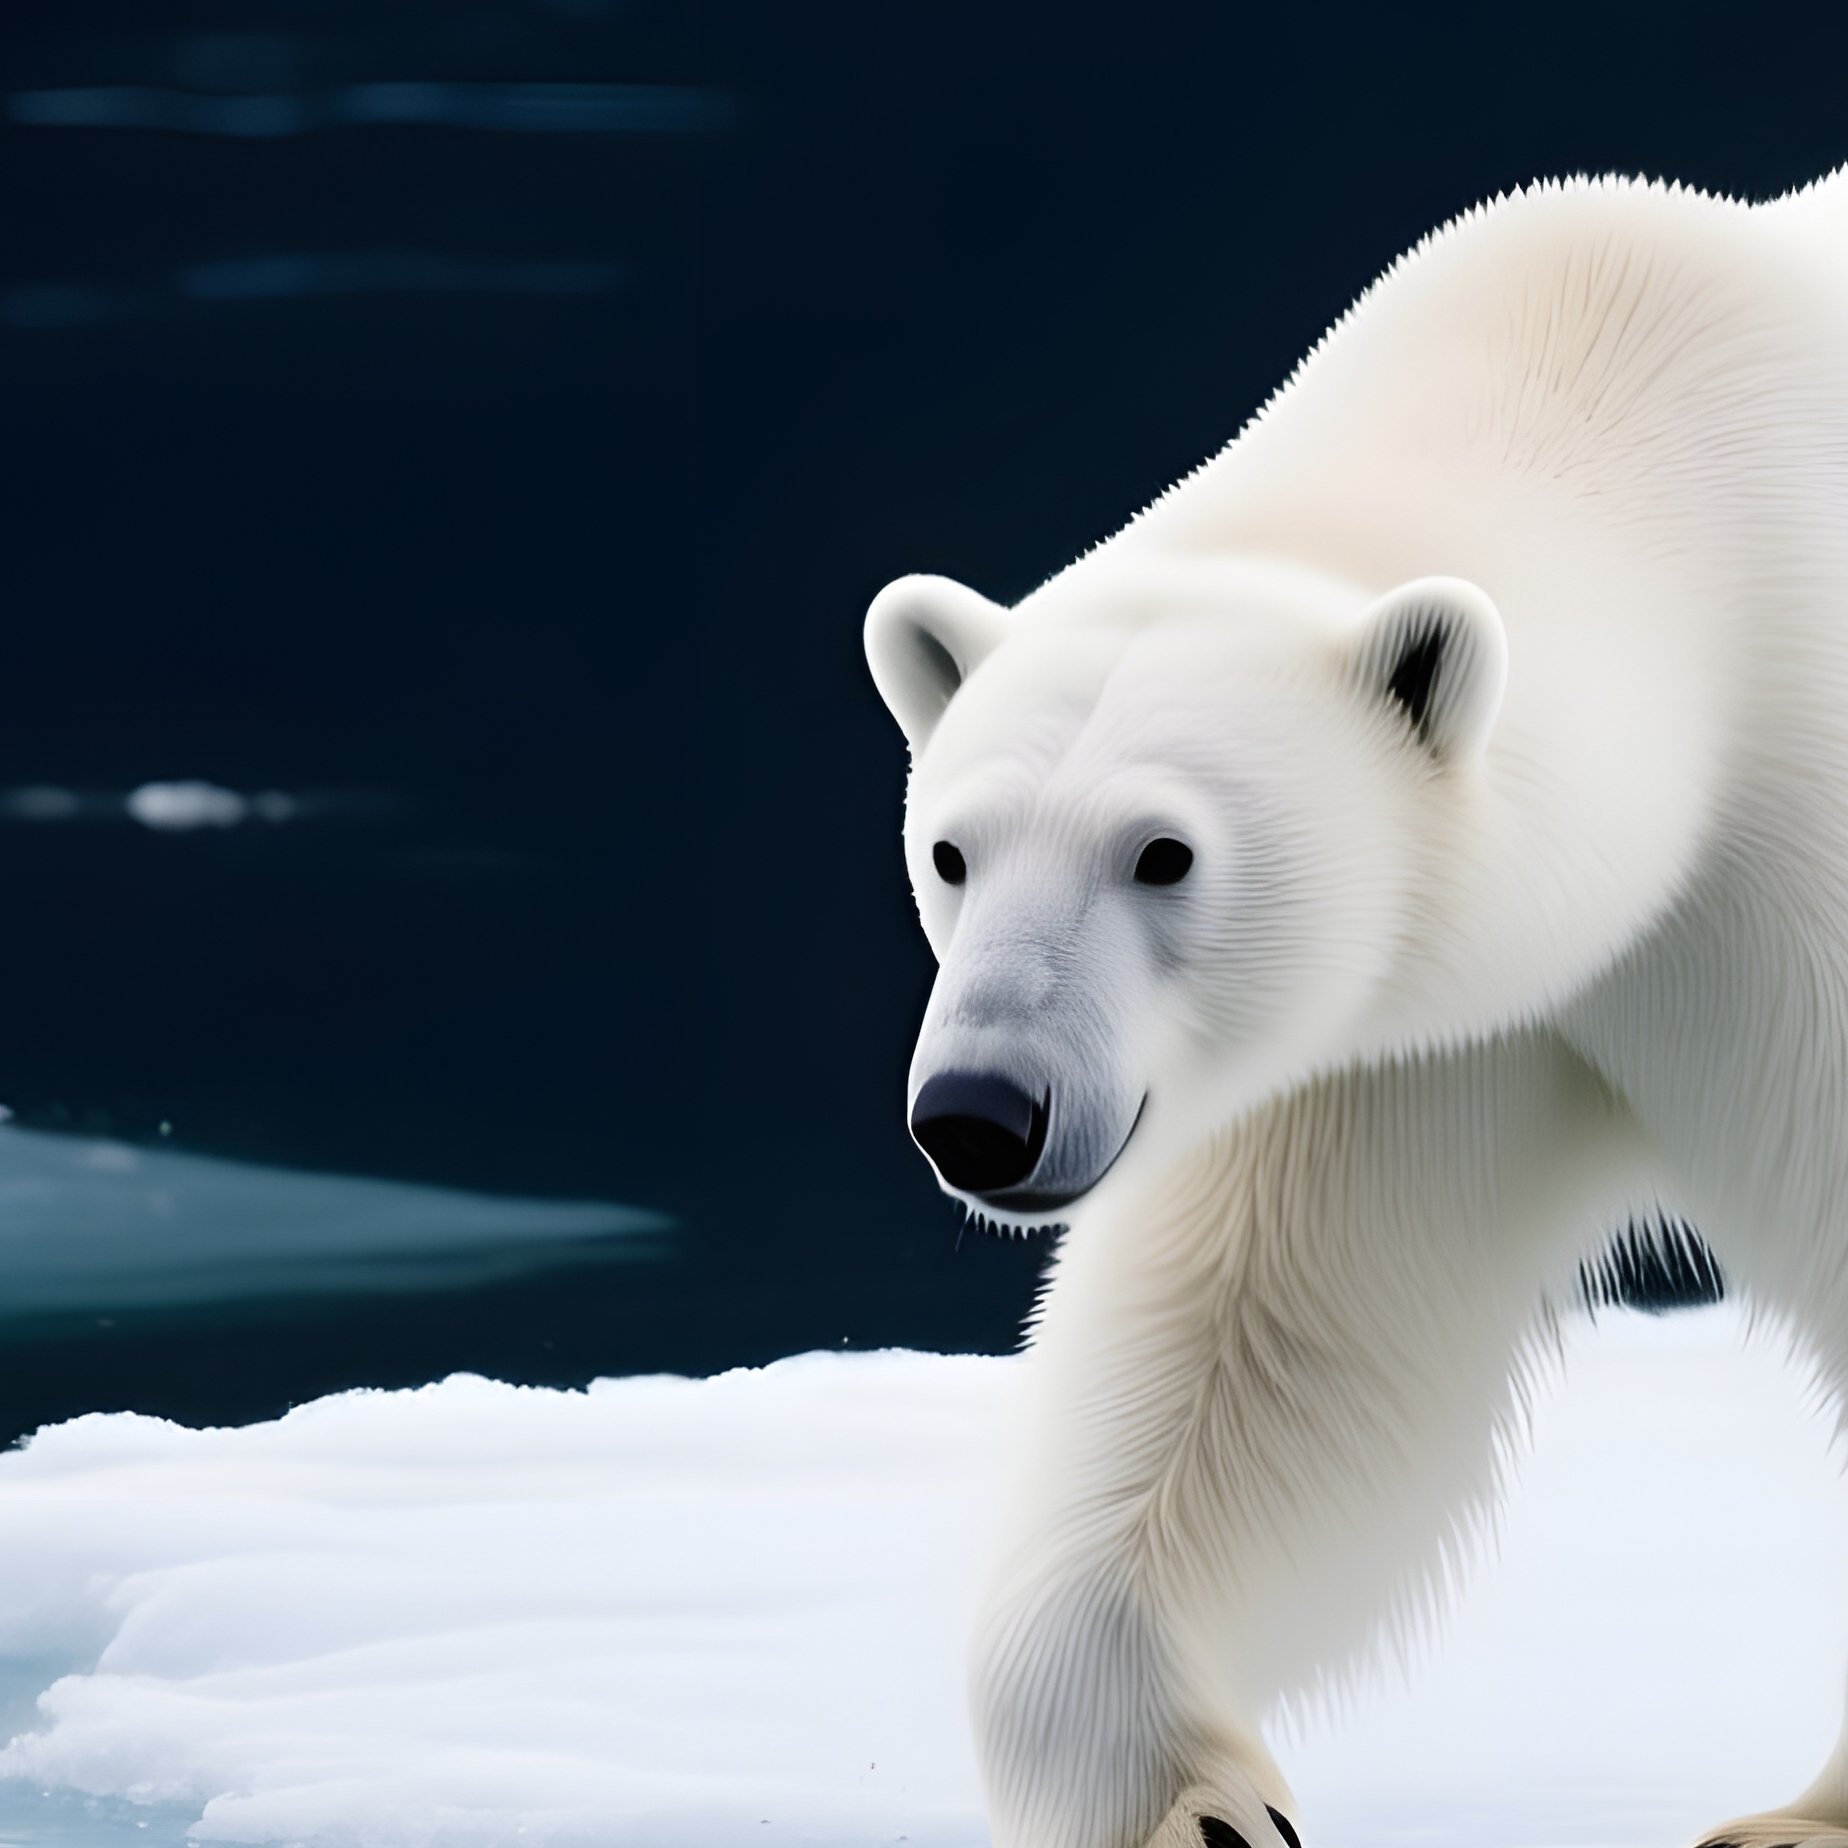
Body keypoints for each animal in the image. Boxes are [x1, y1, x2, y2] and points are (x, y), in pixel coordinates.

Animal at [864, 167, 1848, 1848]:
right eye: (953, 849)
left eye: (1165, 851)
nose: (981, 1113)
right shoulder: (1422, 1026)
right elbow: (1269, 1350)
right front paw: (1199, 1806)